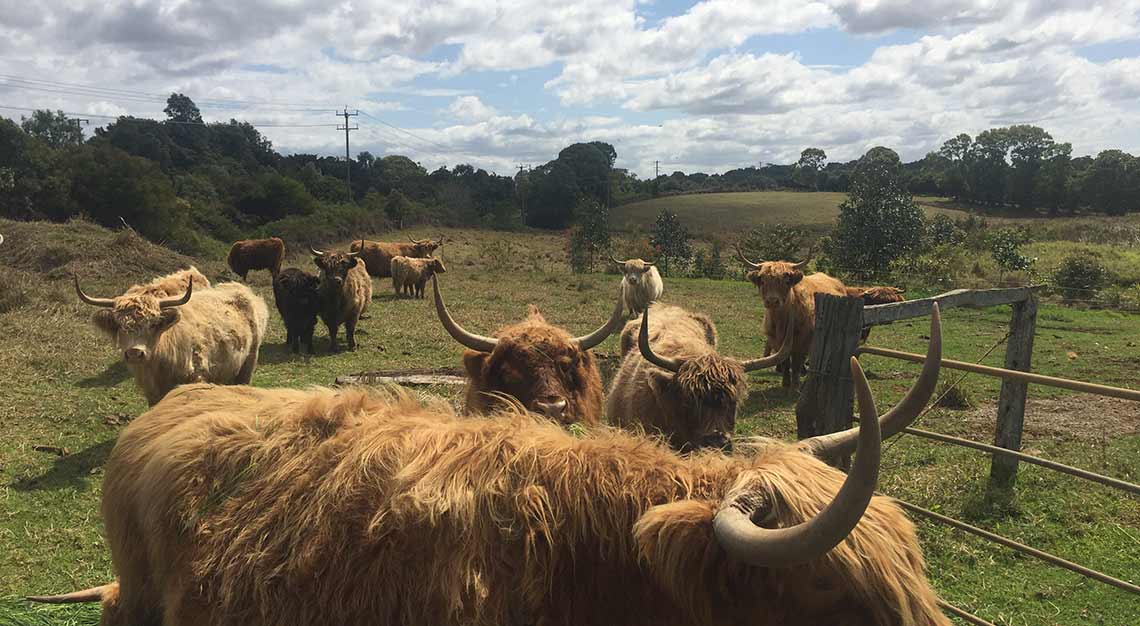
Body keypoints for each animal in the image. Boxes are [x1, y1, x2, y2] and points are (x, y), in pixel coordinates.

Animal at [738, 248, 848, 385]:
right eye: (762, 280)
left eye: (786, 281)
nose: (772, 301)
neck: (780, 322)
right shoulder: (776, 342)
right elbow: (785, 362)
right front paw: (786, 383)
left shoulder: (802, 343)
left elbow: (796, 364)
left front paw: (795, 384)